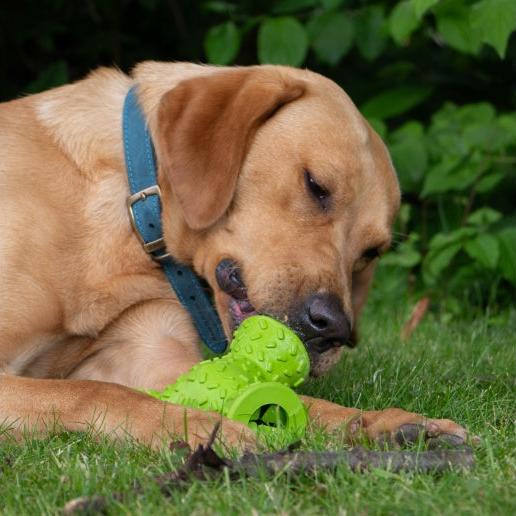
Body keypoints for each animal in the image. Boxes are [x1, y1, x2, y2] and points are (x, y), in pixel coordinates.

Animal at [1, 63, 468, 448]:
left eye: (371, 251)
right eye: (316, 185)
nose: (335, 329)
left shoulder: (151, 359)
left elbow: (300, 402)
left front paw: (385, 423)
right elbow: (96, 392)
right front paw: (202, 427)